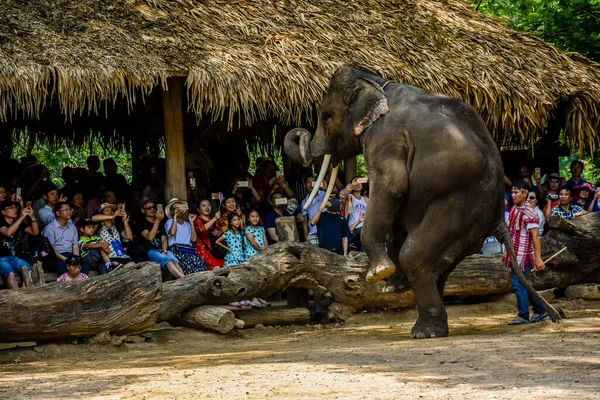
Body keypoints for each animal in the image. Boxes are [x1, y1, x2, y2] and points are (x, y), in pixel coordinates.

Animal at [286, 65, 564, 338]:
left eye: (325, 116)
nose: (298, 133)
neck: (377, 82)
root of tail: (498, 217)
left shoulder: (385, 137)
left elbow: (392, 186)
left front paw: (380, 273)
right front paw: (392, 284)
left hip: (459, 207)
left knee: (415, 256)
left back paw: (425, 332)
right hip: (470, 226)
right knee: (439, 264)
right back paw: (428, 325)